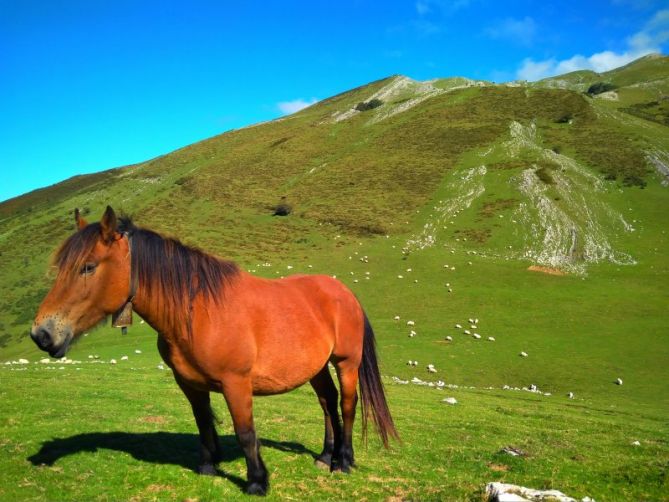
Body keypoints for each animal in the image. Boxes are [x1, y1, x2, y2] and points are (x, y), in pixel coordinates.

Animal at [31, 207, 396, 494]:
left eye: (88, 266)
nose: (42, 334)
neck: (197, 311)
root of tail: (344, 292)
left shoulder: (236, 383)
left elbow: (246, 432)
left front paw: (257, 482)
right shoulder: (190, 384)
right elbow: (203, 422)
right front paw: (208, 467)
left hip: (346, 362)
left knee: (347, 405)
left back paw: (344, 461)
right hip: (317, 367)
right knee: (327, 403)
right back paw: (324, 456)